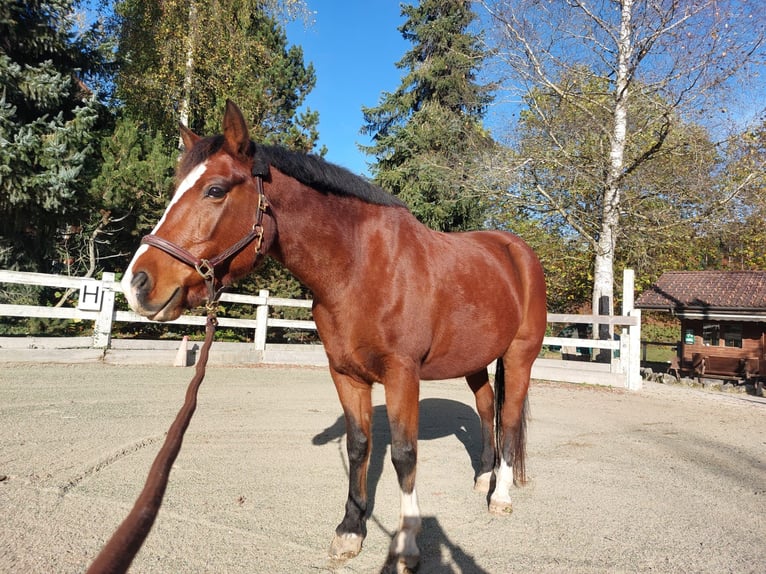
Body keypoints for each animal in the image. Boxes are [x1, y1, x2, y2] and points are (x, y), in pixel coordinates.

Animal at [121, 101, 544, 572]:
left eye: (215, 190)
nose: (137, 284)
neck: (360, 267)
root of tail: (516, 251)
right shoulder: (345, 374)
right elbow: (359, 446)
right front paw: (350, 530)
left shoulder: (402, 375)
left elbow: (404, 454)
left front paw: (407, 545)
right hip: (475, 361)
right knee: (487, 408)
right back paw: (483, 477)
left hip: (519, 357)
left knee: (509, 421)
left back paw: (500, 495)